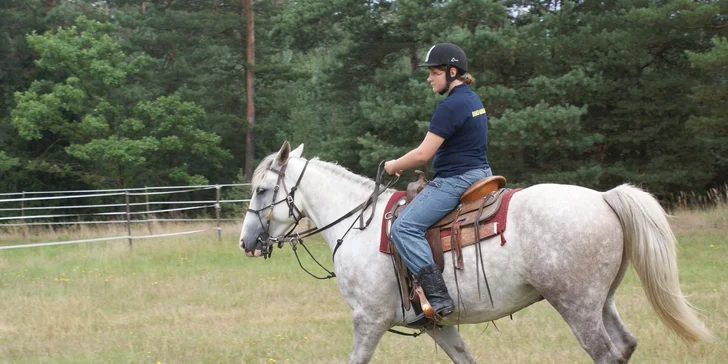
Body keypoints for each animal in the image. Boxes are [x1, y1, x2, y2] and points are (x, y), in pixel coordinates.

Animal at [237, 142, 712, 364]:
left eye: (261, 190)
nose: (246, 243)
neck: (359, 225)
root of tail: (603, 198)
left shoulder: (368, 320)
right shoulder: (436, 325)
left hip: (575, 305)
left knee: (605, 352)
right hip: (602, 301)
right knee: (625, 345)